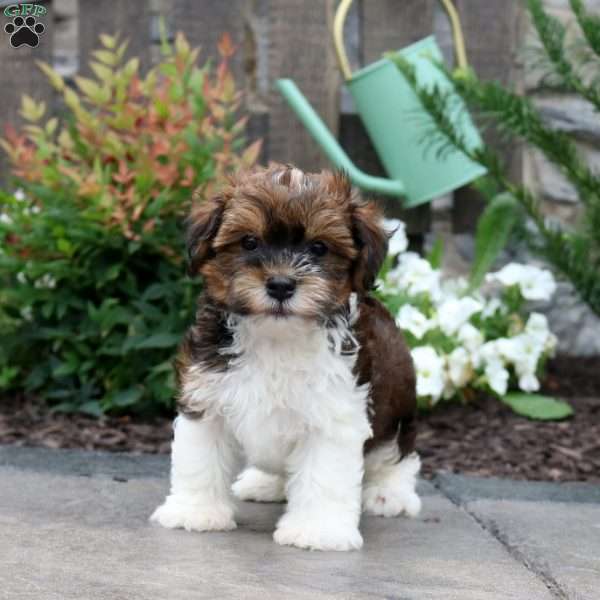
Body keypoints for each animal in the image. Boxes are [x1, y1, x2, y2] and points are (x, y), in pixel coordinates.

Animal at [151, 165, 422, 552]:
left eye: (319, 247)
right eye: (249, 242)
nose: (280, 285)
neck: (276, 336)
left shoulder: (334, 415)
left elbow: (324, 474)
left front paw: (318, 530)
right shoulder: (206, 393)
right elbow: (200, 458)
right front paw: (195, 511)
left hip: (398, 405)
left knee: (397, 454)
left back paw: (390, 493)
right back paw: (265, 483)